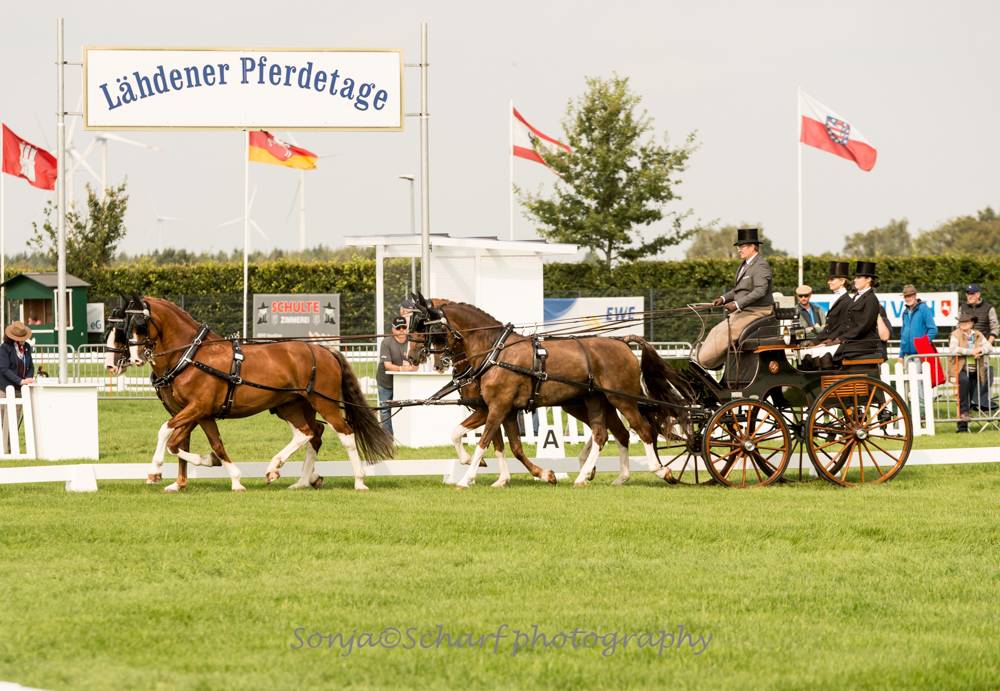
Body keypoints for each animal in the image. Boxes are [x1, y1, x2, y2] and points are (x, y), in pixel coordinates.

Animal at [111, 296, 394, 491]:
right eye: (123, 326)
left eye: (139, 324)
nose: (131, 359)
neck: (191, 355)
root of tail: (324, 350)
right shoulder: (200, 413)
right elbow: (204, 443)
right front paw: (223, 475)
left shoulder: (197, 408)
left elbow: (167, 434)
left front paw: (155, 471)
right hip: (291, 405)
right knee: (309, 433)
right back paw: (294, 477)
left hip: (325, 403)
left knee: (343, 433)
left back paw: (358, 481)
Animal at [404, 294, 692, 489]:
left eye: (426, 326)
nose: (413, 357)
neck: (494, 353)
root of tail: (621, 342)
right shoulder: (501, 409)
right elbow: (507, 445)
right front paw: (516, 477)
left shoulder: (496, 407)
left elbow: (483, 441)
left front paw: (467, 477)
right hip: (594, 401)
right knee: (607, 434)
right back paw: (601, 476)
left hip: (622, 399)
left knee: (642, 431)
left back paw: (660, 470)